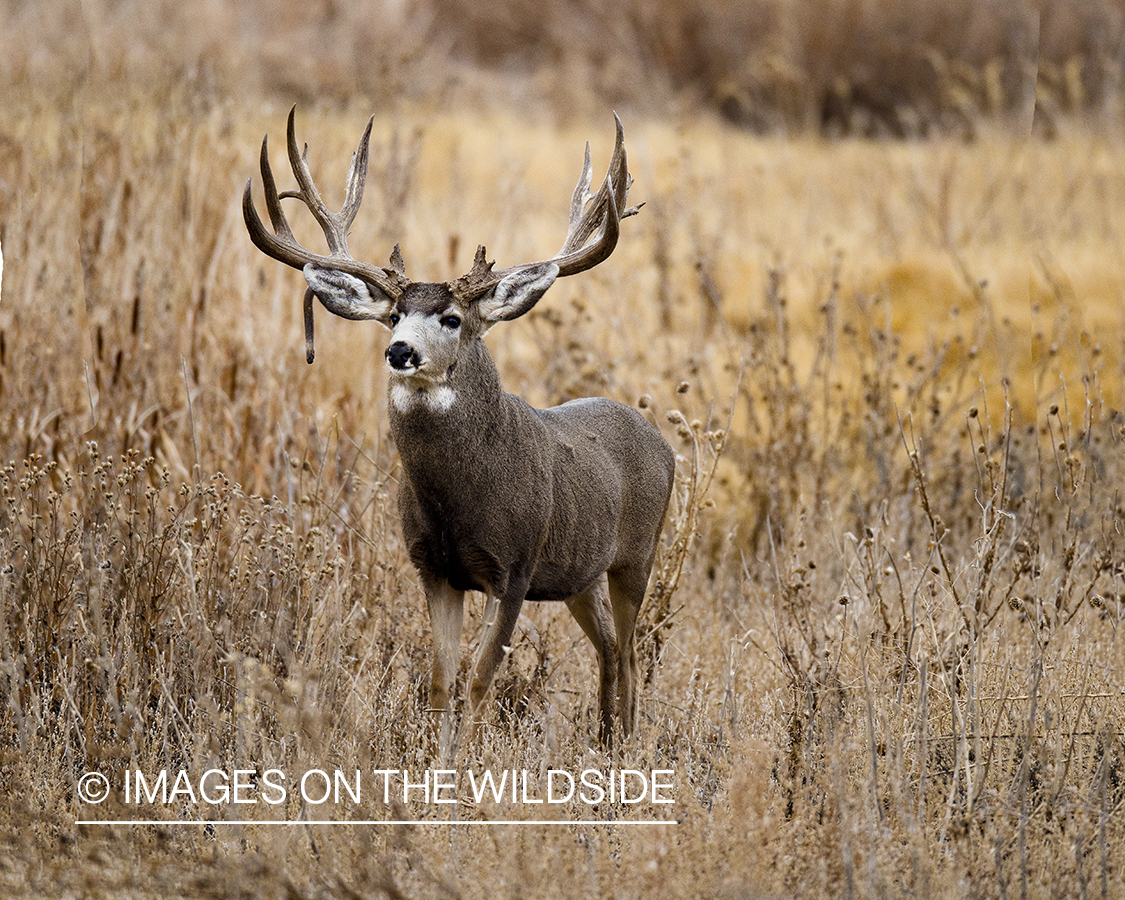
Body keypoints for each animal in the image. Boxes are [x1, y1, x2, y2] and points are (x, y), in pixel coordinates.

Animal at [243, 107, 670, 751]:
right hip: (580, 575)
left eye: (450, 317)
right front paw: (438, 763)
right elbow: (443, 681)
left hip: (635, 558)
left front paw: (466, 766)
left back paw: (627, 747)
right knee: (610, 650)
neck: (457, 500)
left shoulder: (513, 567)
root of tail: (663, 443)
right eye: (395, 314)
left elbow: (479, 680)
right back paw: (603, 740)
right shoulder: (434, 568)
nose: (399, 351)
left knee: (631, 655)